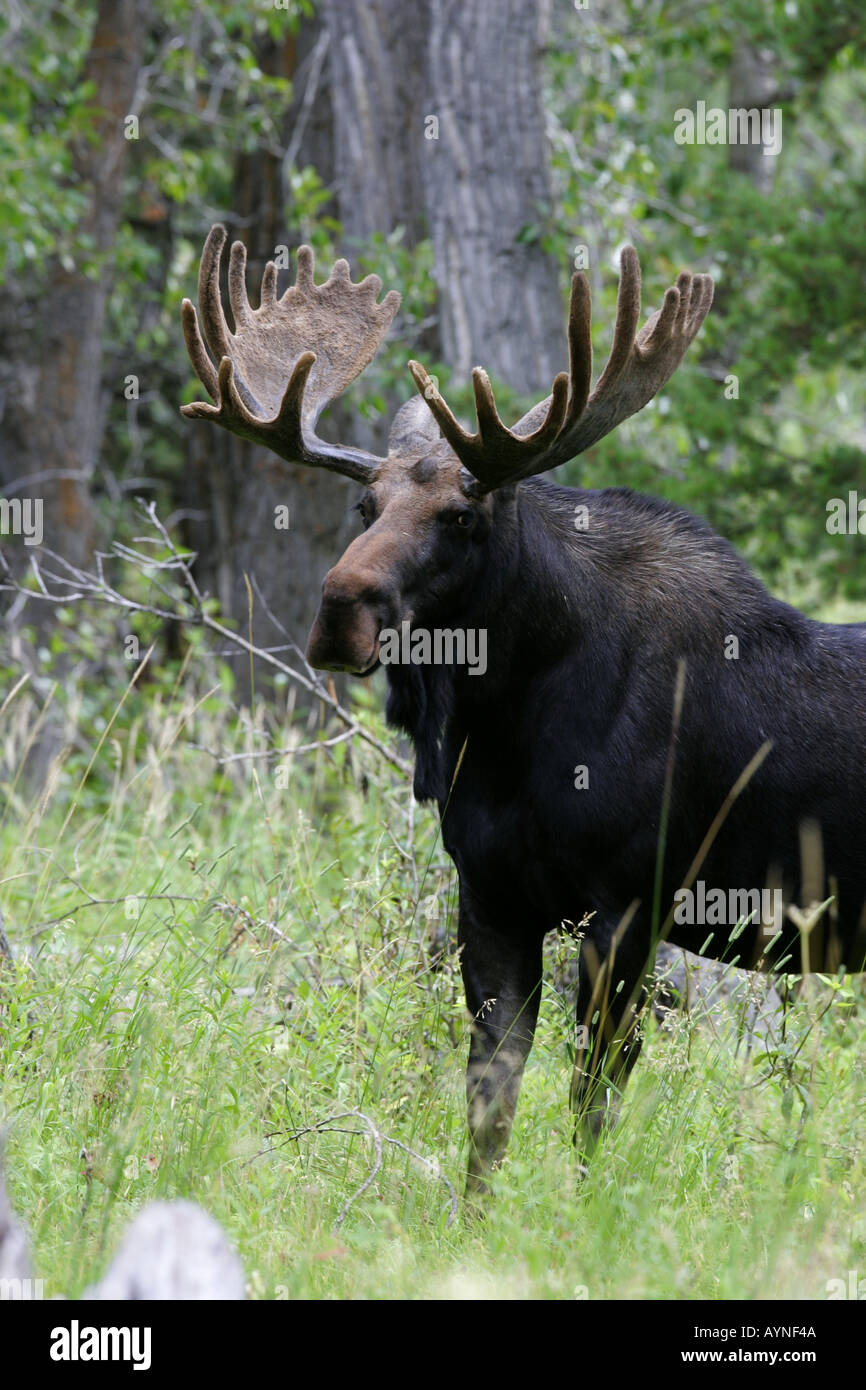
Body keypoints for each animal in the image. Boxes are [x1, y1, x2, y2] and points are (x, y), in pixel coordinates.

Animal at [183, 225, 866, 1195]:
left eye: (462, 515)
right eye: (365, 502)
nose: (340, 609)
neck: (508, 729)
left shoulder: (631, 904)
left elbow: (591, 1101)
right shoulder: (491, 896)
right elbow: (489, 1100)